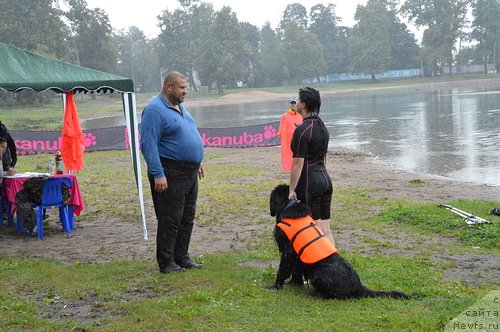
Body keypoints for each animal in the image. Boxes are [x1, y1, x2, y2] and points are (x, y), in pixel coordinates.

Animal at [268, 184, 408, 300]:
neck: (289, 205)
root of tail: (359, 286)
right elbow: (295, 269)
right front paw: (293, 283)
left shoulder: (288, 250)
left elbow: (283, 269)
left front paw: (276, 286)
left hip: (319, 274)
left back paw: (316, 293)